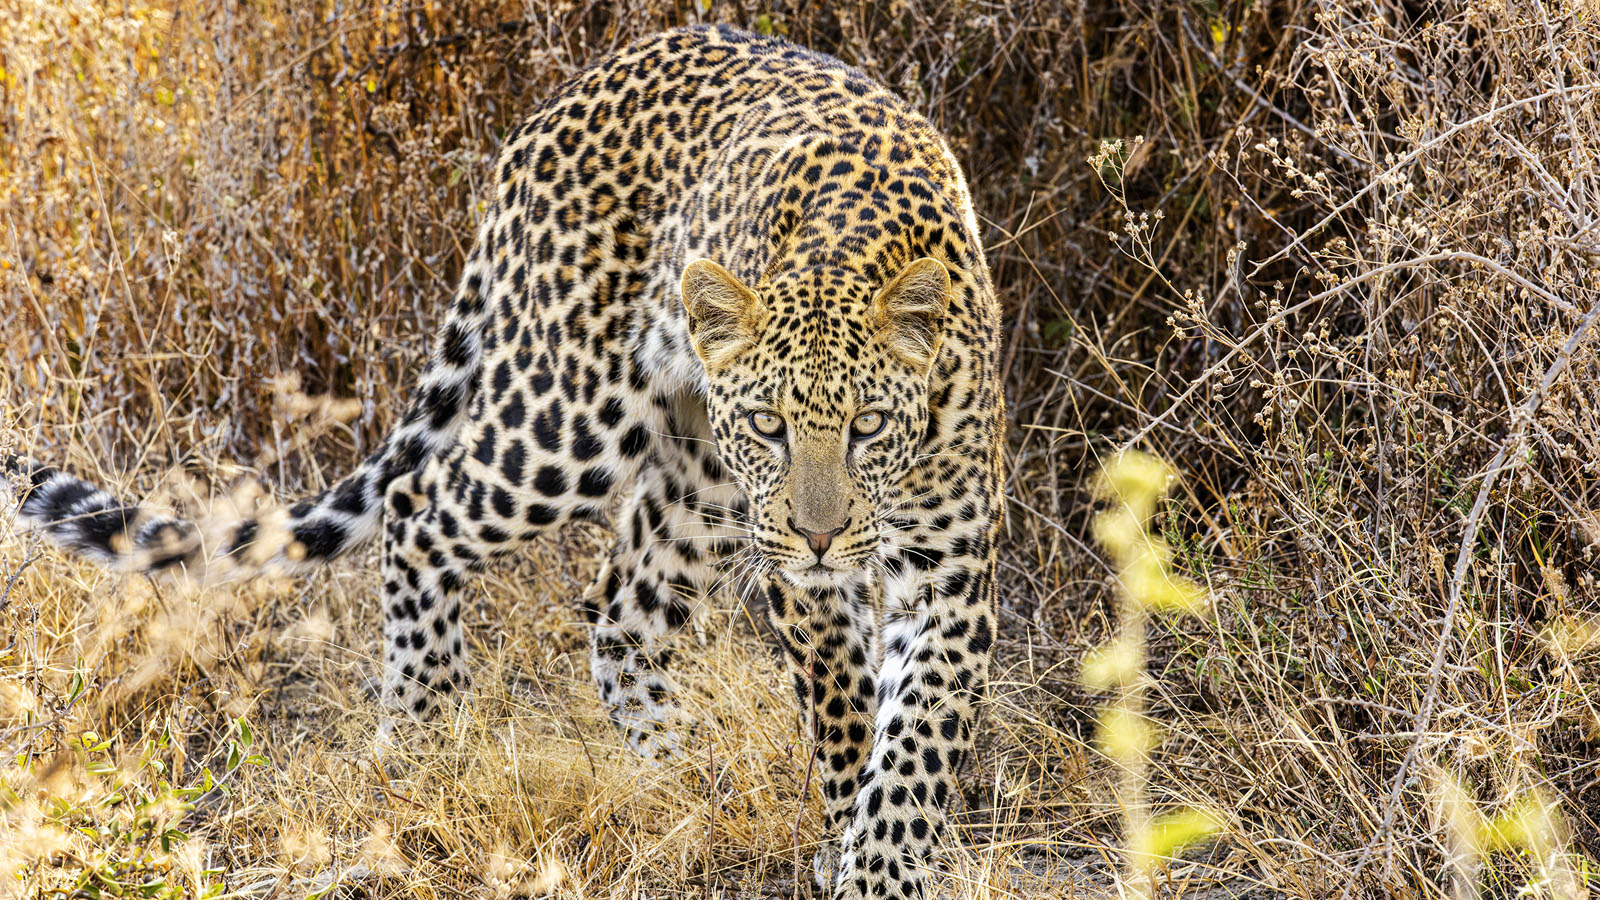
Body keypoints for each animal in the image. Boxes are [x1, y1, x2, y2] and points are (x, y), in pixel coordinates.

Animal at [6, 24, 1004, 898]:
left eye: (869, 425)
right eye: (768, 424)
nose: (821, 534)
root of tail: (558, 100)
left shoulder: (950, 570)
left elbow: (916, 740)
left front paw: (882, 862)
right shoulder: (800, 571)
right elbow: (846, 707)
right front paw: (855, 850)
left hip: (697, 475)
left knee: (622, 606)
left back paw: (689, 771)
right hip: (576, 421)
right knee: (419, 507)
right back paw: (421, 737)